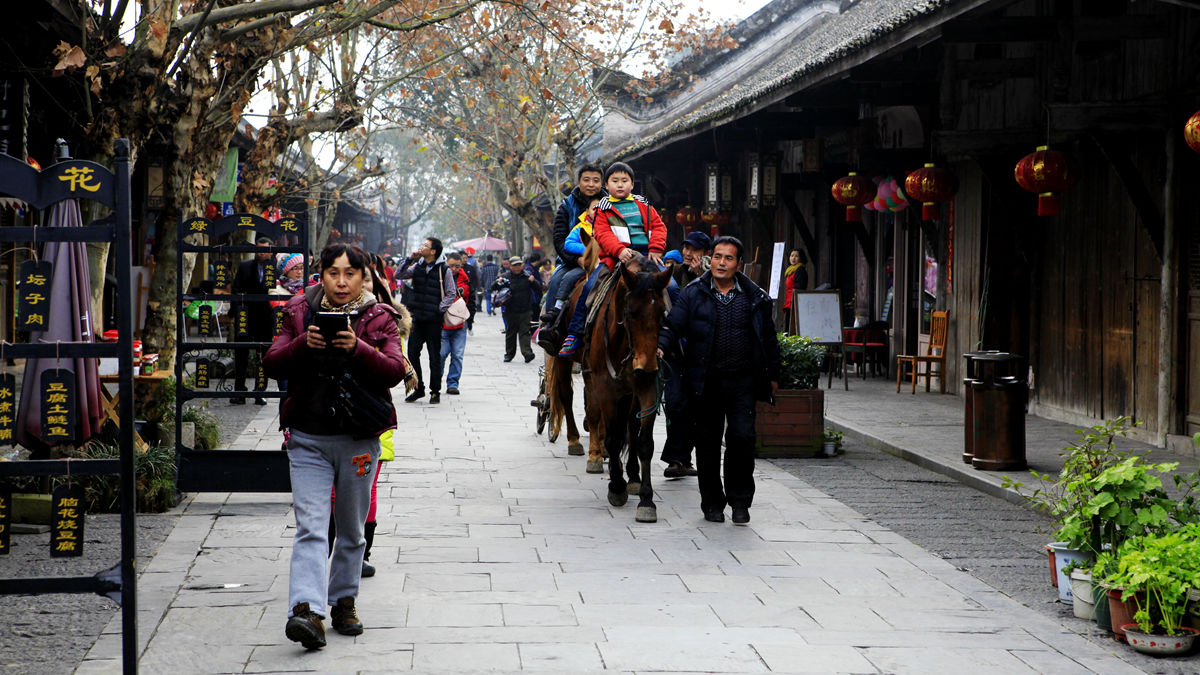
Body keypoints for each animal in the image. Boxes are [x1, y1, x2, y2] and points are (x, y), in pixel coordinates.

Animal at [578, 254, 672, 523]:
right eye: (630, 313)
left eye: (663, 313)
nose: (646, 367)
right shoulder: (606, 389)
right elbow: (613, 438)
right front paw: (616, 487)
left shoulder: (648, 388)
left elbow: (644, 442)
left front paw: (646, 500)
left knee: (630, 426)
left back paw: (632, 476)